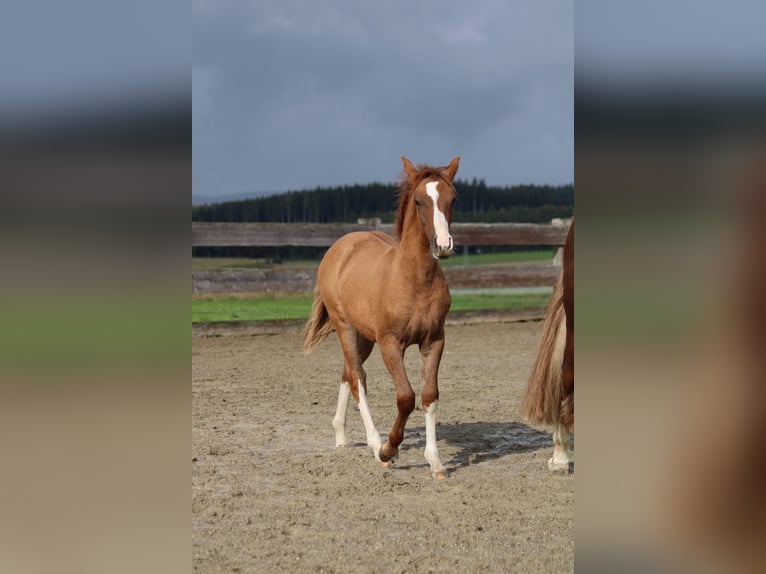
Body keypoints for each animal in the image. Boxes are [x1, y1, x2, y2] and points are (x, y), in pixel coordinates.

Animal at [306, 155, 462, 480]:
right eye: (418, 200)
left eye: (453, 198)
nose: (443, 245)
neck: (413, 280)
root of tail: (340, 247)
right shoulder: (391, 344)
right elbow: (406, 397)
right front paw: (389, 449)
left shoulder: (434, 341)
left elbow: (429, 395)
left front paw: (436, 463)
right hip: (345, 327)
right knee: (357, 377)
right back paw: (374, 443)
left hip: (365, 337)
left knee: (347, 372)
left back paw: (341, 436)